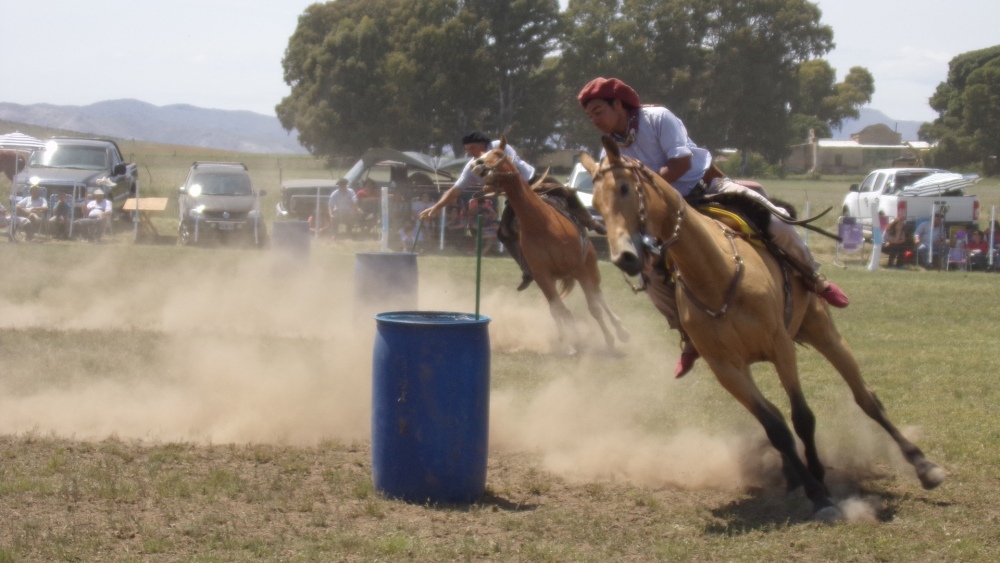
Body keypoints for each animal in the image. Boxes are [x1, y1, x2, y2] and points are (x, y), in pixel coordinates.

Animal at [472, 137, 628, 354]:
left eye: (496, 154)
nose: (477, 164)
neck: (541, 225)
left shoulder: (579, 269)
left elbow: (594, 308)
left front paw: (610, 340)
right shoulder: (542, 277)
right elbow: (560, 310)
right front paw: (570, 343)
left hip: (590, 266)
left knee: (599, 297)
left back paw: (620, 331)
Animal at [584, 135, 940, 520]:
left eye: (624, 188)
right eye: (596, 203)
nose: (624, 257)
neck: (716, 276)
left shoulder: (780, 346)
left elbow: (802, 417)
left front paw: (820, 485)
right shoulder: (727, 370)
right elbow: (776, 427)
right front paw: (816, 492)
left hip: (821, 328)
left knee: (866, 398)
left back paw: (922, 466)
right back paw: (795, 474)